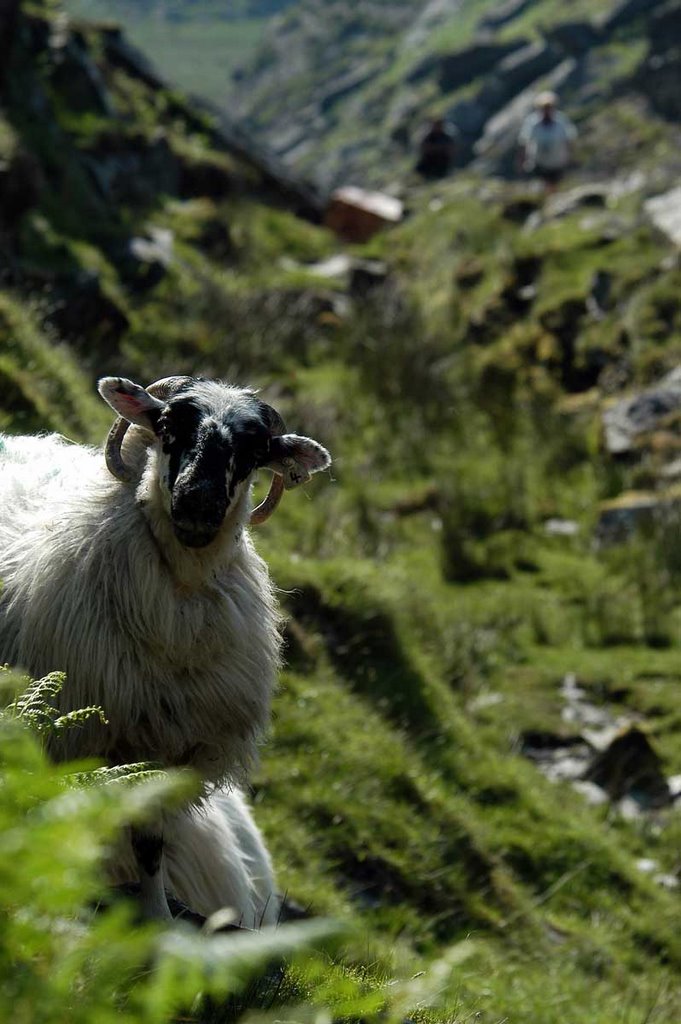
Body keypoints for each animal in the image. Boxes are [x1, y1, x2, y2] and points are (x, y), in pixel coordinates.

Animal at [0, 376, 329, 929]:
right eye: (171, 424)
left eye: (255, 449)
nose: (198, 503)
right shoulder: (68, 735)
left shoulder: (172, 754)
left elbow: (149, 842)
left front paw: (157, 917)